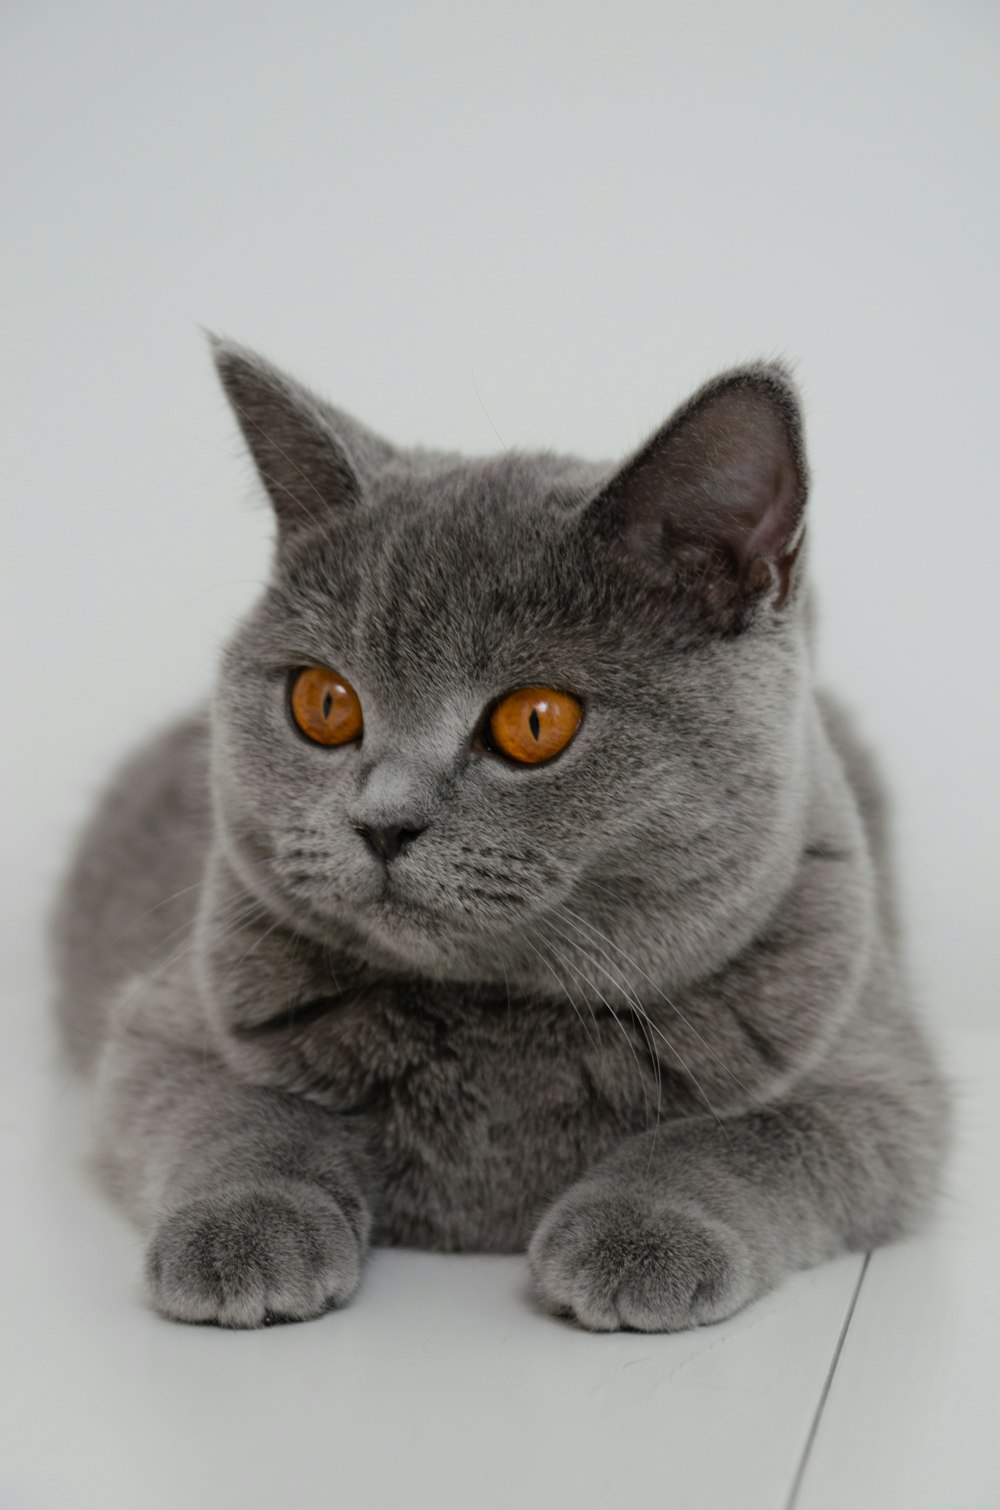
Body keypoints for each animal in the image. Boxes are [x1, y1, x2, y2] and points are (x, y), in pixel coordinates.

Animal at [49, 336, 954, 1328]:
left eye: (535, 721)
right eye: (323, 703)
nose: (383, 823)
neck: (497, 1027)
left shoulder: (881, 1084)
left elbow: (735, 1137)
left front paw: (638, 1235)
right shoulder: (165, 1025)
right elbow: (242, 1113)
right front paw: (244, 1228)